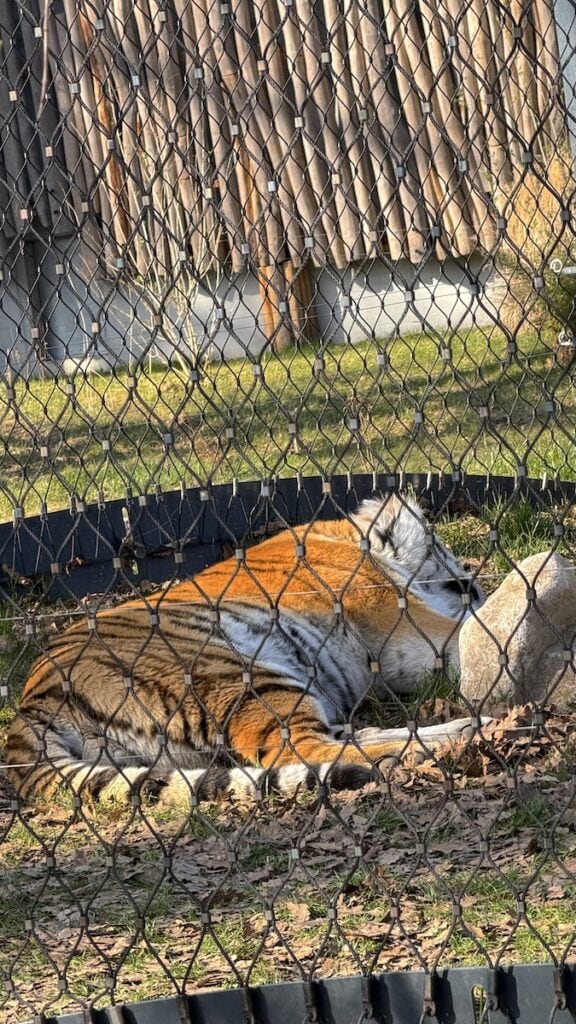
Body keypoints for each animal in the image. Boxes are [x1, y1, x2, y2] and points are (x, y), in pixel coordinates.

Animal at [4, 494, 486, 808]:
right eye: (446, 552)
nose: (474, 582)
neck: (349, 540)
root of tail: (29, 707)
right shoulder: (401, 622)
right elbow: (465, 631)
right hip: (236, 675)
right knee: (304, 749)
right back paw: (447, 742)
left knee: (347, 736)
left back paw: (458, 729)